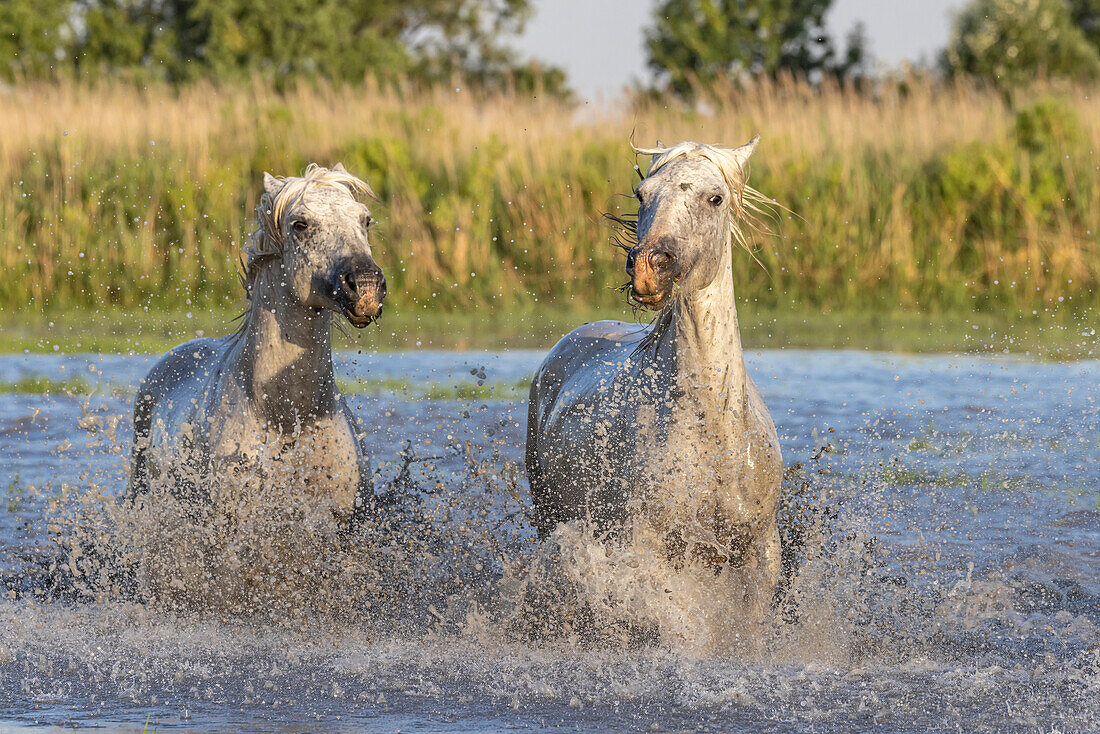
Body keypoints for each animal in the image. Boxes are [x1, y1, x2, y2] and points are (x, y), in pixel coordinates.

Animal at [528, 137, 787, 603]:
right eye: (641, 194)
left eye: (715, 198)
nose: (650, 267)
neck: (715, 429)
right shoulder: (650, 551)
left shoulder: (760, 554)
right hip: (547, 514)